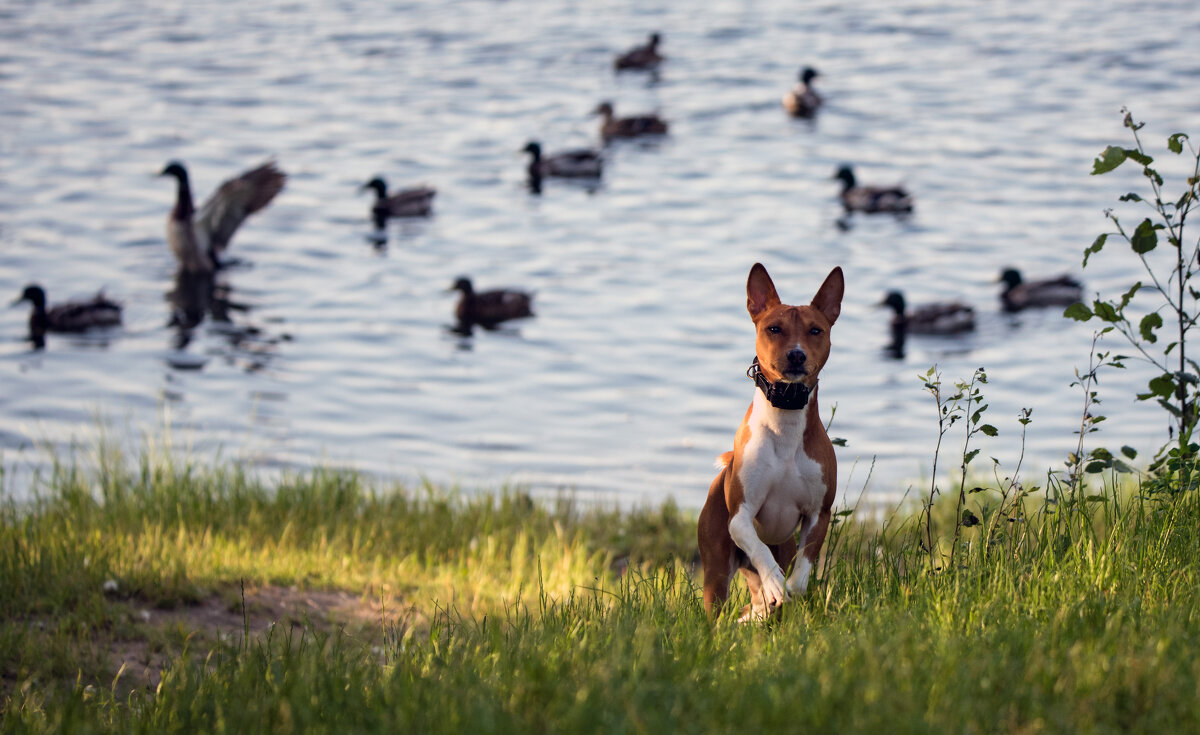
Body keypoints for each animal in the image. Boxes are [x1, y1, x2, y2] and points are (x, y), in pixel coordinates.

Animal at [696, 264, 844, 619]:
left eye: (816, 330)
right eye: (774, 329)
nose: (796, 354)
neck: (785, 421)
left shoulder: (818, 514)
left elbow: (802, 574)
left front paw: (786, 589)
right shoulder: (740, 517)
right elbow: (760, 550)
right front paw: (776, 583)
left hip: (782, 547)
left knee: (759, 596)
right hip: (716, 569)